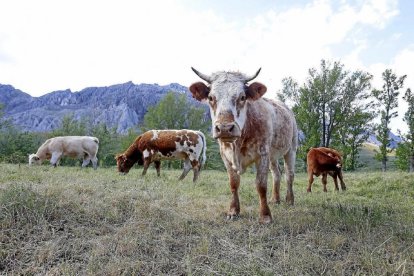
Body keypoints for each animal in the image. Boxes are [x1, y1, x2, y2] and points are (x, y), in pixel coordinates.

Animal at [189, 67, 300, 224]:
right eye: (210, 98)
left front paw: (265, 216)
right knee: (276, 173)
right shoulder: (226, 156)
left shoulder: (262, 154)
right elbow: (234, 183)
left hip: (291, 148)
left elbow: (261, 185)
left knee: (289, 174)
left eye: (242, 97)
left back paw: (289, 200)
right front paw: (233, 211)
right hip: (273, 154)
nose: (224, 128)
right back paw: (275, 199)